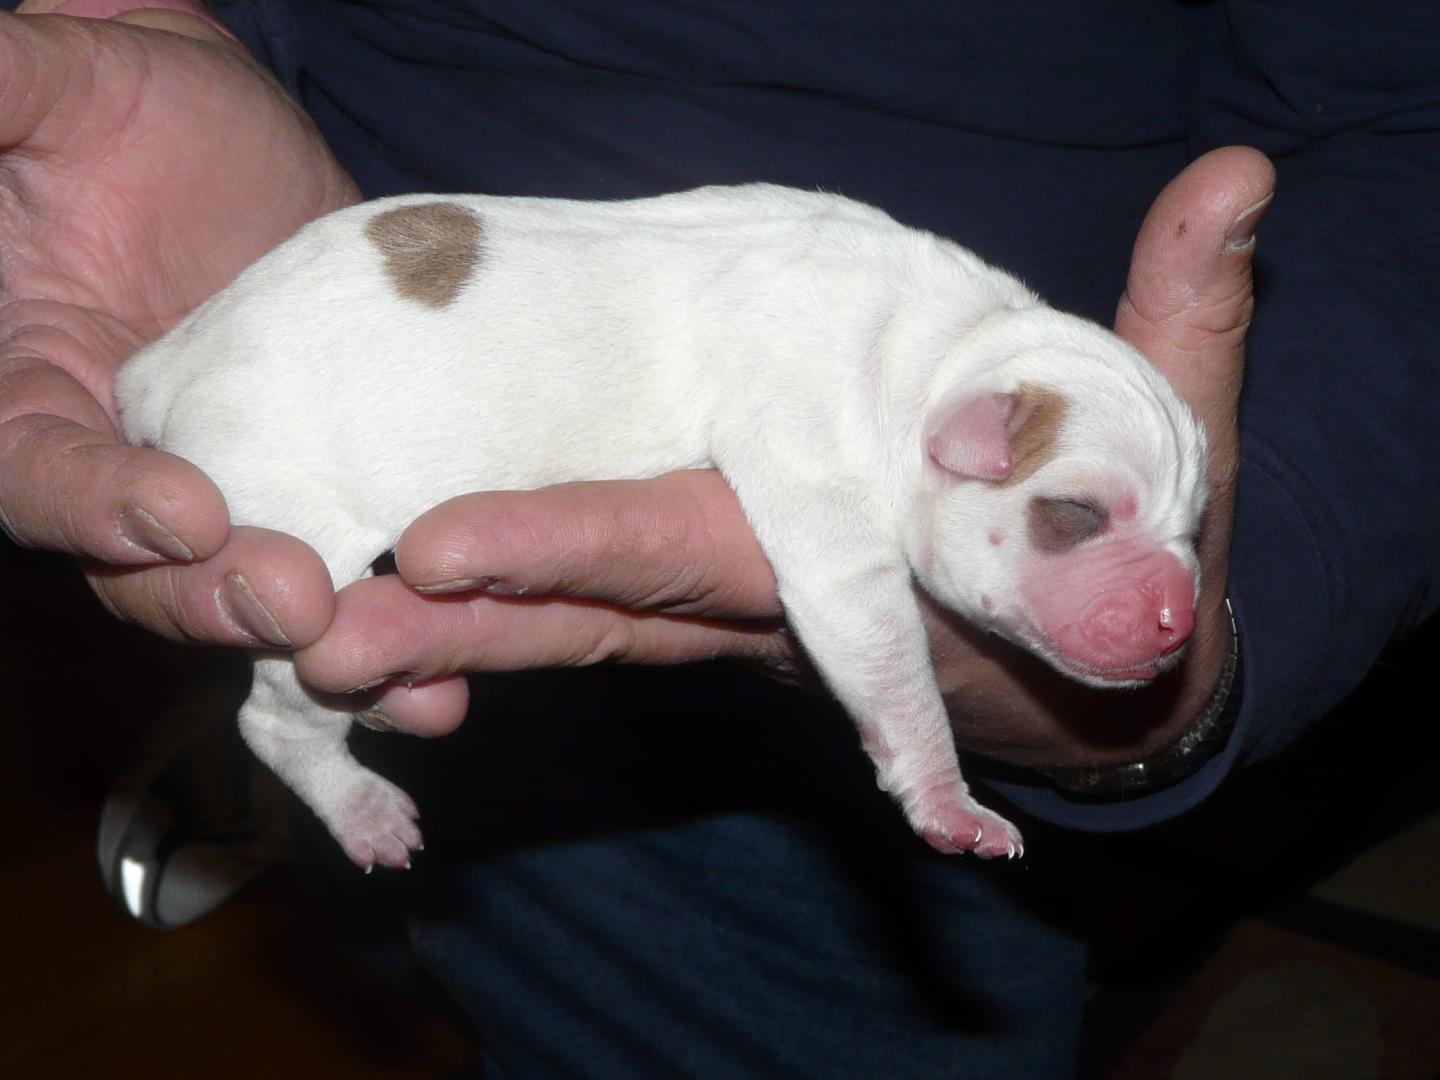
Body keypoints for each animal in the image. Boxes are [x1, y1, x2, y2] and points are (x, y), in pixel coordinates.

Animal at [115, 184, 1207, 870]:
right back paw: (361, 807)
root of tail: (168, 363)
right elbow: (871, 631)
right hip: (296, 522)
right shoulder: (817, 454)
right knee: (276, 713)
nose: (1176, 620)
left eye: (1196, 529)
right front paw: (948, 802)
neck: (945, 349)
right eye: (1073, 515)